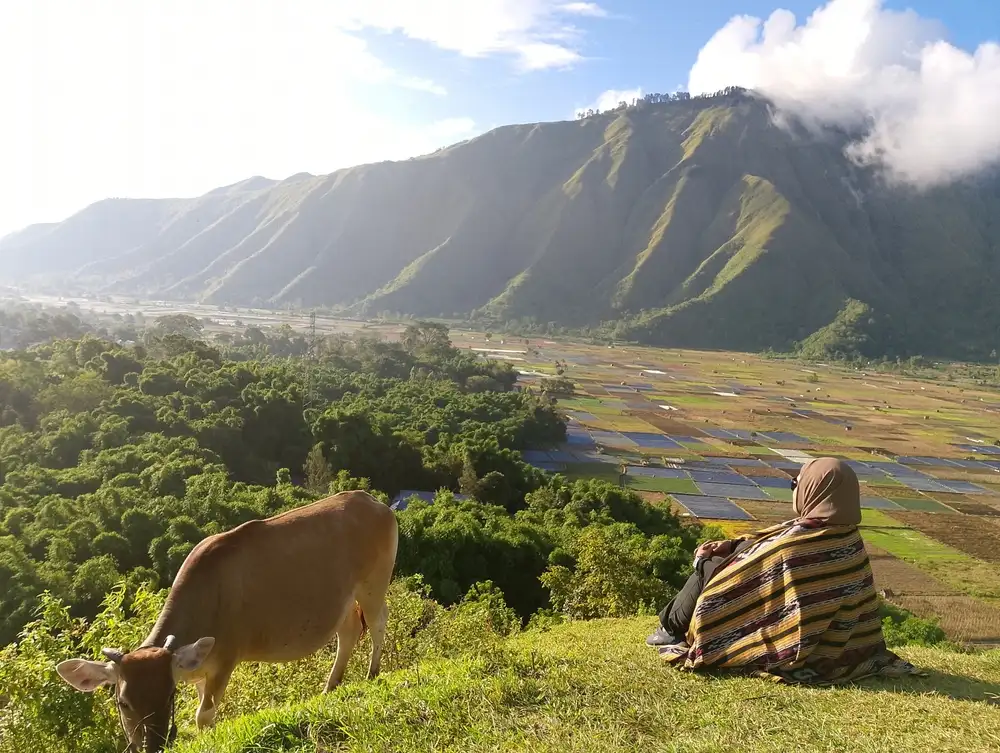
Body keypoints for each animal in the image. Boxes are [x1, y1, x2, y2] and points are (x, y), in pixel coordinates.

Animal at [56, 490, 396, 748]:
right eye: (123, 703)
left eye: (169, 696)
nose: (152, 745)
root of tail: (371, 501)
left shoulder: (226, 659)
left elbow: (204, 716)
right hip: (343, 600)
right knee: (348, 631)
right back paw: (330, 686)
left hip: (374, 583)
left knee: (378, 622)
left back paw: (372, 673)